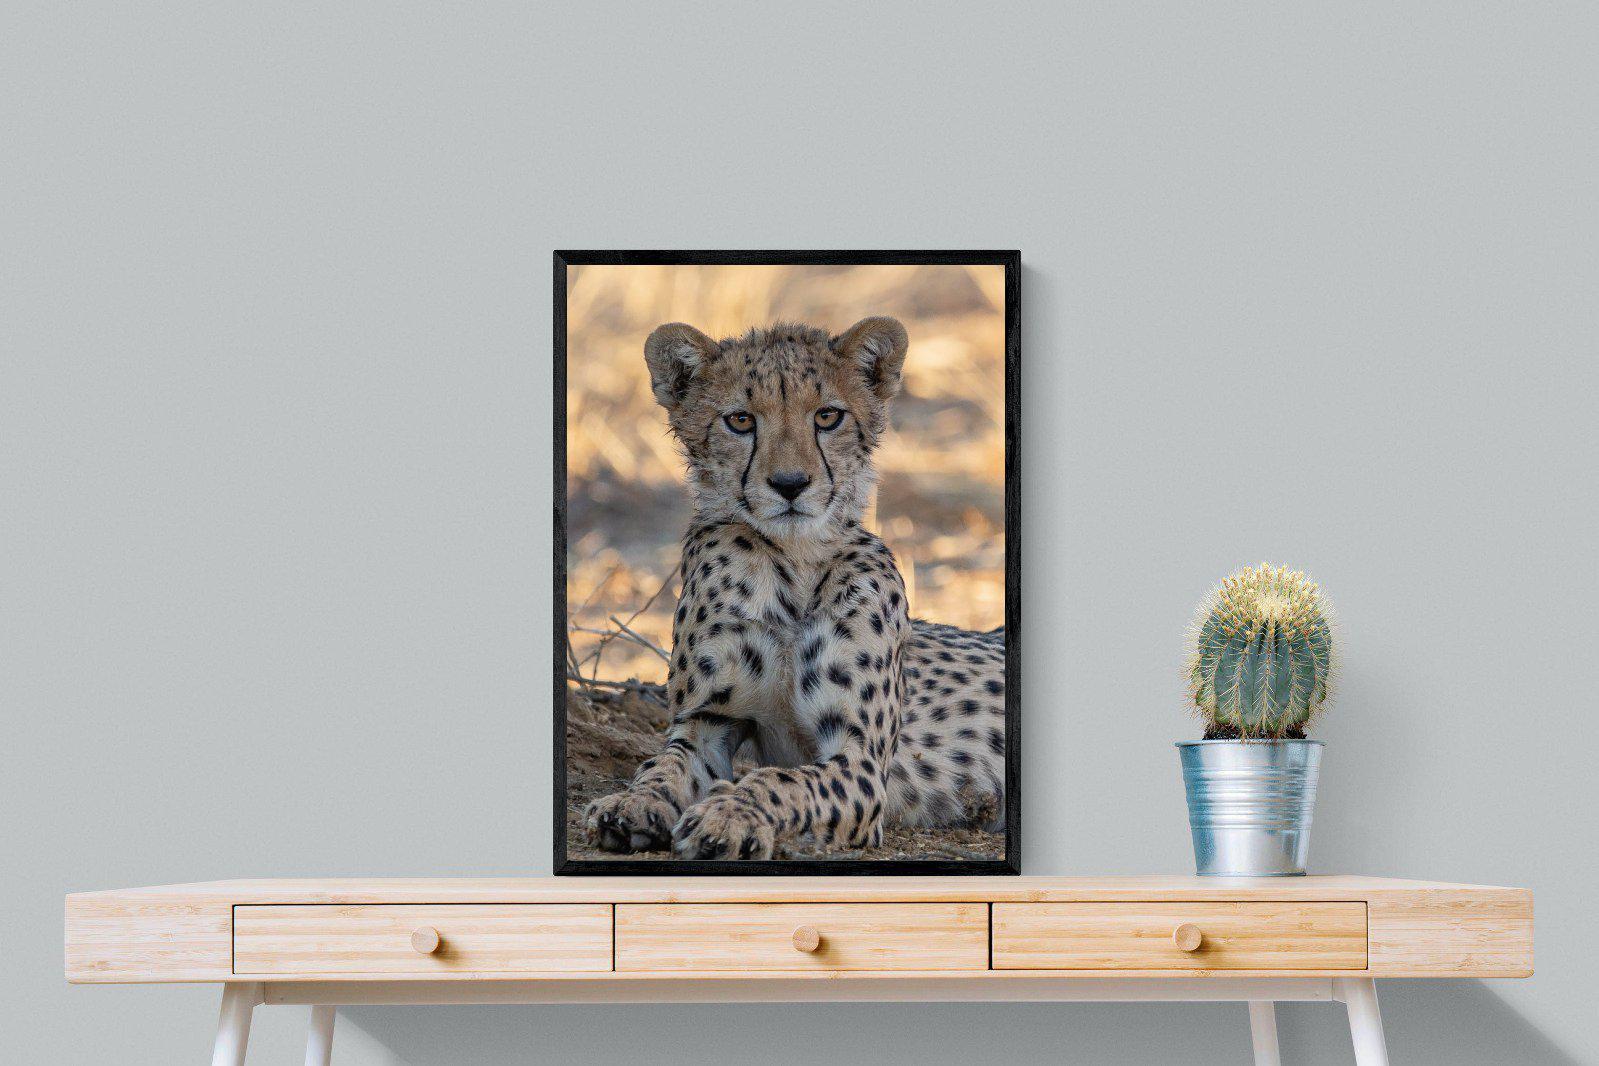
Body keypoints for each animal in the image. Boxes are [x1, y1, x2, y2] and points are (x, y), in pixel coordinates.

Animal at [582, 316, 1006, 860]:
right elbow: (663, 765)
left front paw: (728, 814)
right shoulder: (706, 723)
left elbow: (782, 782)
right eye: (741, 421)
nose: (790, 484)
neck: (793, 565)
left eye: (827, 416)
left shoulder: (860, 759)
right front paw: (632, 803)